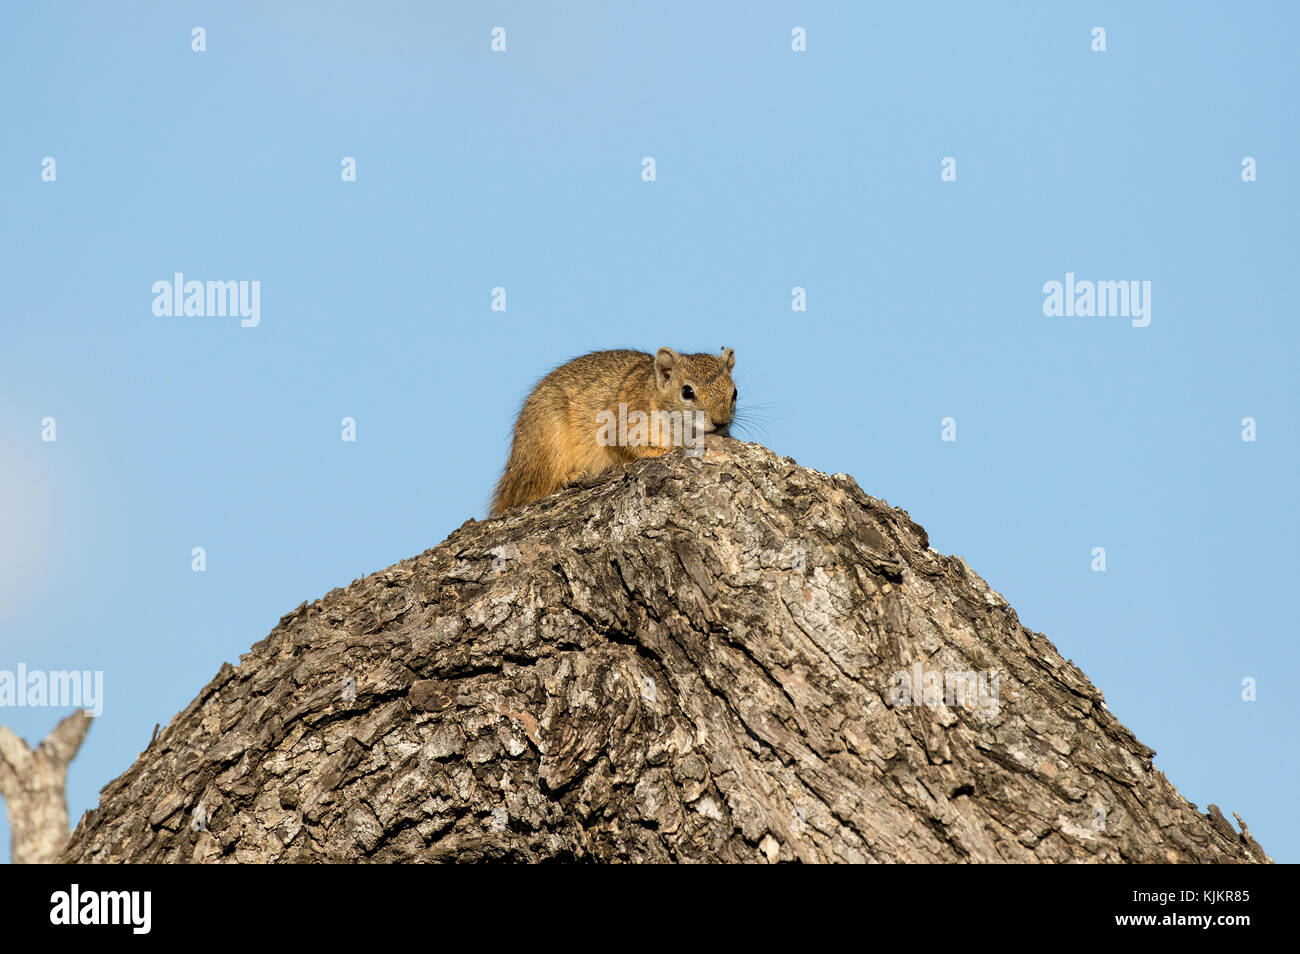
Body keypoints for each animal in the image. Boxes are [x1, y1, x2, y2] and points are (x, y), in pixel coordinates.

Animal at [491, 348, 738, 514]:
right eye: (687, 392)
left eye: (734, 392)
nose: (721, 422)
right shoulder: (621, 425)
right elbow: (633, 449)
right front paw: (664, 451)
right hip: (548, 436)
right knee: (532, 489)